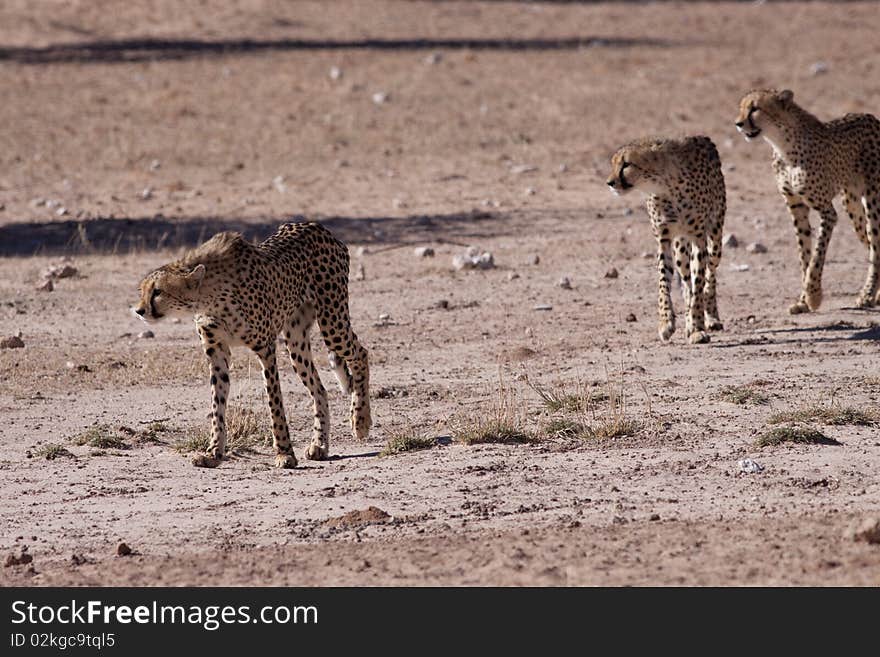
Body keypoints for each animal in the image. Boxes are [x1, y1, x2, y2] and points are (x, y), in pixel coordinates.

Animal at [134, 223, 372, 468]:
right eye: (142, 291)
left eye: (158, 291)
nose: (139, 310)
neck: (209, 295)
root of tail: (317, 226)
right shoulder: (216, 351)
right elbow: (217, 404)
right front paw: (213, 452)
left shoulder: (265, 348)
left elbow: (274, 402)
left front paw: (284, 453)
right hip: (295, 340)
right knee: (320, 389)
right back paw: (320, 445)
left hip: (332, 321)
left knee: (360, 353)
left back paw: (360, 421)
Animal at [604, 136, 728, 346]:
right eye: (613, 164)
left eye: (626, 164)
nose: (610, 183)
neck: (664, 184)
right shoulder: (664, 239)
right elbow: (665, 283)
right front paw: (666, 323)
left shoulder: (698, 239)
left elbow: (699, 283)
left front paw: (697, 328)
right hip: (680, 249)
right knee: (686, 281)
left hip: (715, 239)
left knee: (709, 275)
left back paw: (711, 318)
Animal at [736, 88, 880, 312]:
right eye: (741, 108)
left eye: (755, 108)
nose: (738, 123)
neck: (782, 143)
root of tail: (871, 117)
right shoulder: (796, 206)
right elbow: (804, 254)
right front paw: (803, 301)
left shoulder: (827, 212)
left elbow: (816, 256)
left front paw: (813, 296)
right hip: (853, 208)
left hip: (873, 201)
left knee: (875, 246)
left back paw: (866, 295)